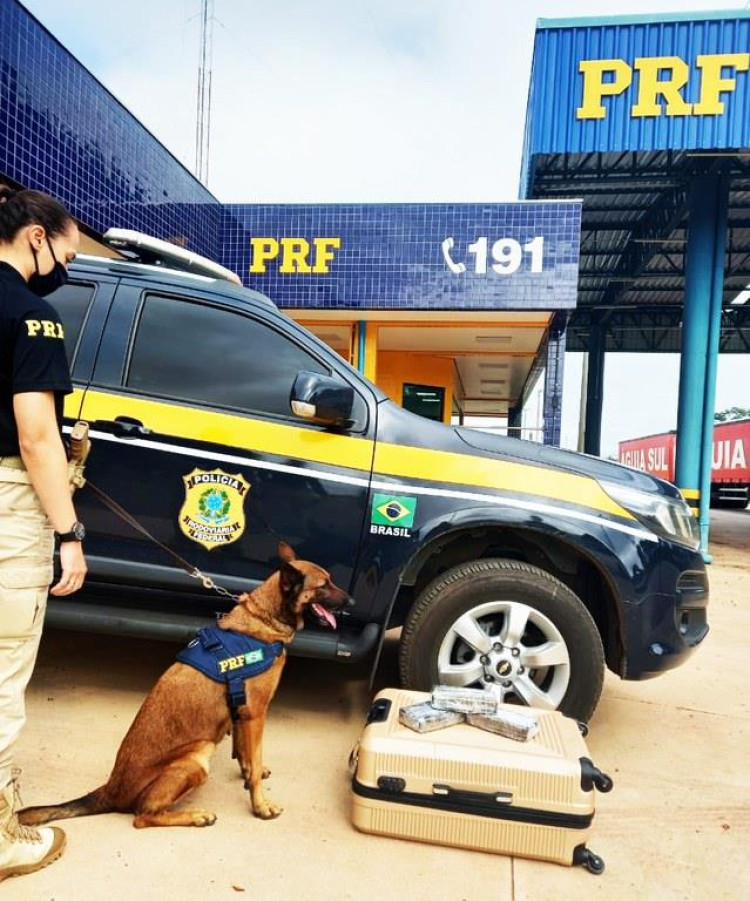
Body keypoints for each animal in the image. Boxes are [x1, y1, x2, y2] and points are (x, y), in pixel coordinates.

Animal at [19, 540, 354, 828]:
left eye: (331, 580)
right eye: (323, 586)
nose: (352, 600)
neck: (263, 619)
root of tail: (111, 790)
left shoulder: (241, 714)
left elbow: (246, 754)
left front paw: (248, 772)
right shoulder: (256, 714)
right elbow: (254, 760)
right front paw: (260, 804)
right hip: (198, 755)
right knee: (143, 816)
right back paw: (195, 816)